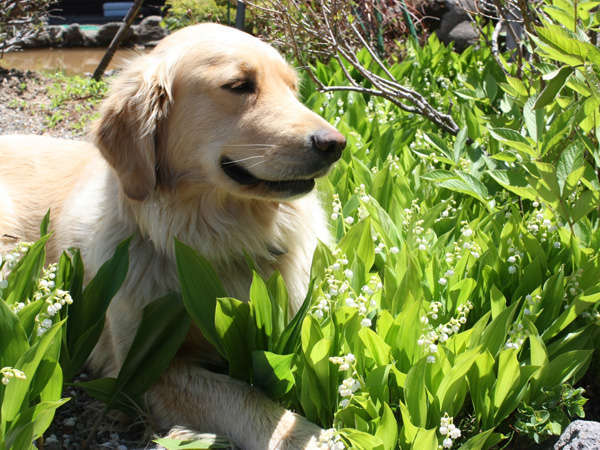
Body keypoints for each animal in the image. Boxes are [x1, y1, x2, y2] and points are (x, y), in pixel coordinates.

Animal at [0, 23, 342, 446]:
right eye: (239, 85)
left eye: (293, 88)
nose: (336, 145)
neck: (212, 247)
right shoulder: (145, 368)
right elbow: (242, 397)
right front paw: (311, 436)